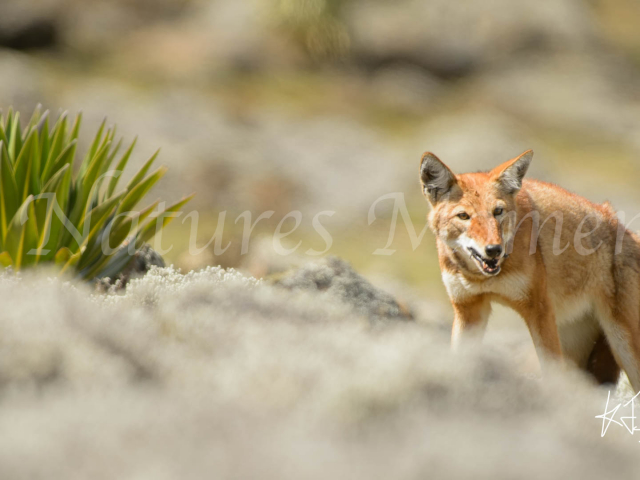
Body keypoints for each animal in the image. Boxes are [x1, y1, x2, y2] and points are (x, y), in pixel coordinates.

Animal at [420, 149, 640, 390]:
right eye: (463, 216)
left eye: (498, 212)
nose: (493, 250)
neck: (483, 278)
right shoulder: (468, 310)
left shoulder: (539, 311)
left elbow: (551, 370)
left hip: (624, 347)